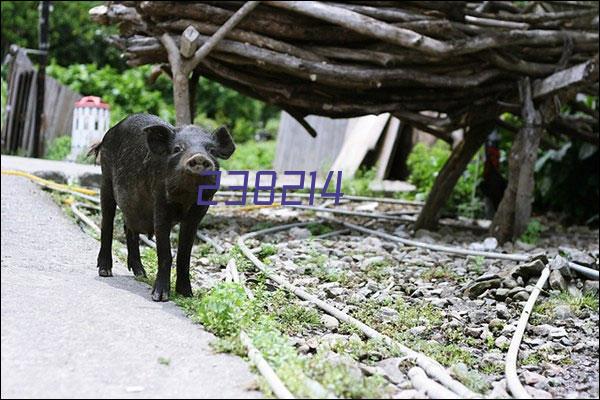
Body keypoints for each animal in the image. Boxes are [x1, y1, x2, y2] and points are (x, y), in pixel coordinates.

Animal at [90, 112, 236, 300]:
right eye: (178, 149)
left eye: (212, 151)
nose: (199, 157)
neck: (185, 199)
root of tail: (108, 134)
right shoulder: (160, 205)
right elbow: (165, 252)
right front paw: (159, 297)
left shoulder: (198, 213)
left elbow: (184, 254)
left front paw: (187, 294)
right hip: (105, 180)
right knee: (107, 222)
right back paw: (105, 271)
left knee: (128, 227)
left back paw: (141, 274)